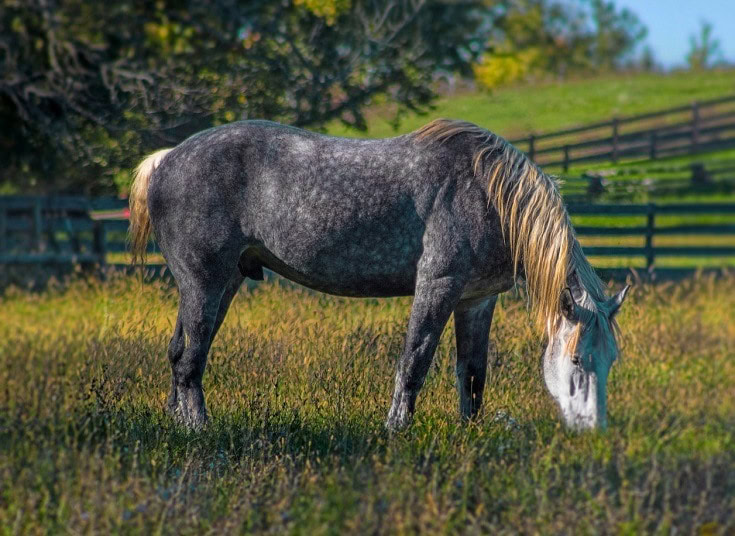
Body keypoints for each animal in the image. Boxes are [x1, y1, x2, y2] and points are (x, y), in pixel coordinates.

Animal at [128, 118, 629, 432]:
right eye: (578, 359)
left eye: (611, 361)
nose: (594, 430)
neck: (489, 194)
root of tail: (166, 159)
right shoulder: (438, 286)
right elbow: (414, 361)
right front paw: (396, 429)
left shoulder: (476, 300)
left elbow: (472, 372)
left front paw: (470, 432)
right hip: (204, 283)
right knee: (190, 361)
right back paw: (199, 429)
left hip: (220, 284)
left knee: (180, 353)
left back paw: (176, 422)